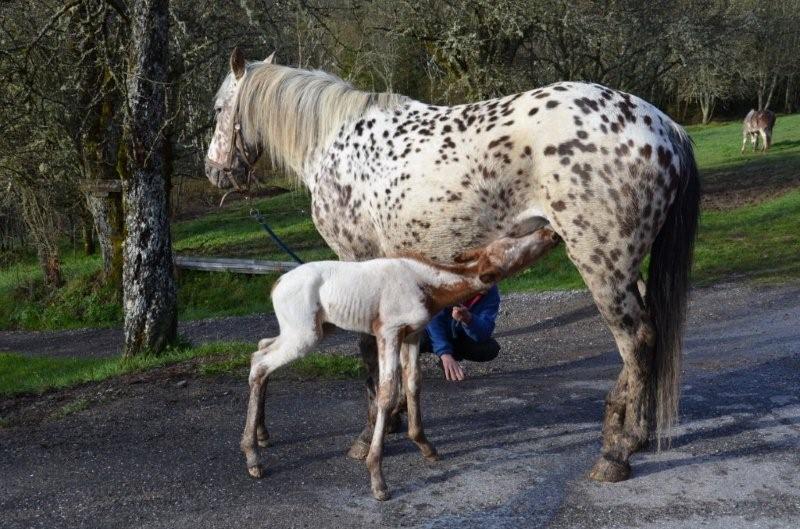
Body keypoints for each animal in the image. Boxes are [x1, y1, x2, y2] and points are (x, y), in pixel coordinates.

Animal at [241, 226, 560, 500]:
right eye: (509, 244)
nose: (551, 232)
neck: (428, 288)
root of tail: (275, 285)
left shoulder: (413, 333)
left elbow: (413, 383)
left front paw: (425, 446)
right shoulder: (388, 331)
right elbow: (386, 393)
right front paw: (377, 479)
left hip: (315, 328)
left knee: (260, 349)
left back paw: (262, 435)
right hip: (305, 333)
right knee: (260, 364)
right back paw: (252, 456)